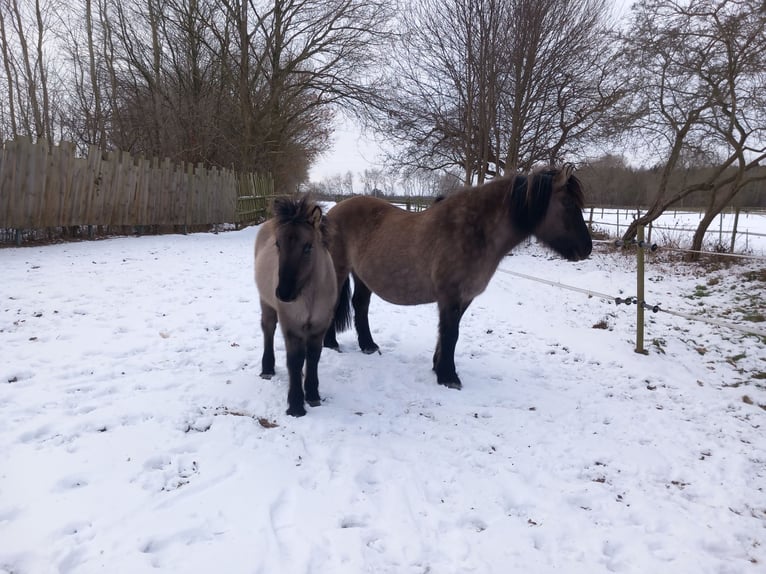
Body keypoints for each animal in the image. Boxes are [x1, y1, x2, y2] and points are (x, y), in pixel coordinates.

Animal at [254, 196, 349, 417]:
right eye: (278, 244)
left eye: (308, 247)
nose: (284, 293)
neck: (310, 296)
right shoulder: (292, 327)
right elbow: (295, 361)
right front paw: (296, 405)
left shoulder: (319, 326)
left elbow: (313, 357)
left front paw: (312, 395)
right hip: (266, 304)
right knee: (268, 330)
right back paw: (267, 369)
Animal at [322, 164, 592, 389]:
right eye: (569, 204)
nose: (586, 249)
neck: (474, 230)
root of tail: (332, 212)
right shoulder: (450, 296)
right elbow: (451, 334)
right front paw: (448, 377)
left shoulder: (464, 298)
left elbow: (448, 334)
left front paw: (438, 367)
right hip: (339, 269)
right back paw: (331, 343)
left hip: (362, 275)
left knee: (360, 305)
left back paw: (368, 346)